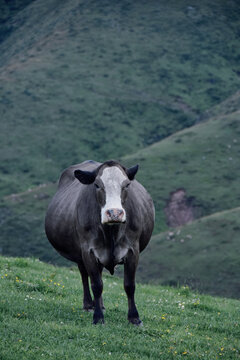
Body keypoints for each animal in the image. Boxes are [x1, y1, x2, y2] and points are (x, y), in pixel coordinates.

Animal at [44, 159, 155, 324]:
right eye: (97, 185)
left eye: (127, 184)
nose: (114, 213)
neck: (111, 232)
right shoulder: (88, 250)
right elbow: (96, 284)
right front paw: (98, 317)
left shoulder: (132, 250)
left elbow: (129, 285)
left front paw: (134, 318)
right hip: (80, 254)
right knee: (85, 276)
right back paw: (89, 305)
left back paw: (100, 305)